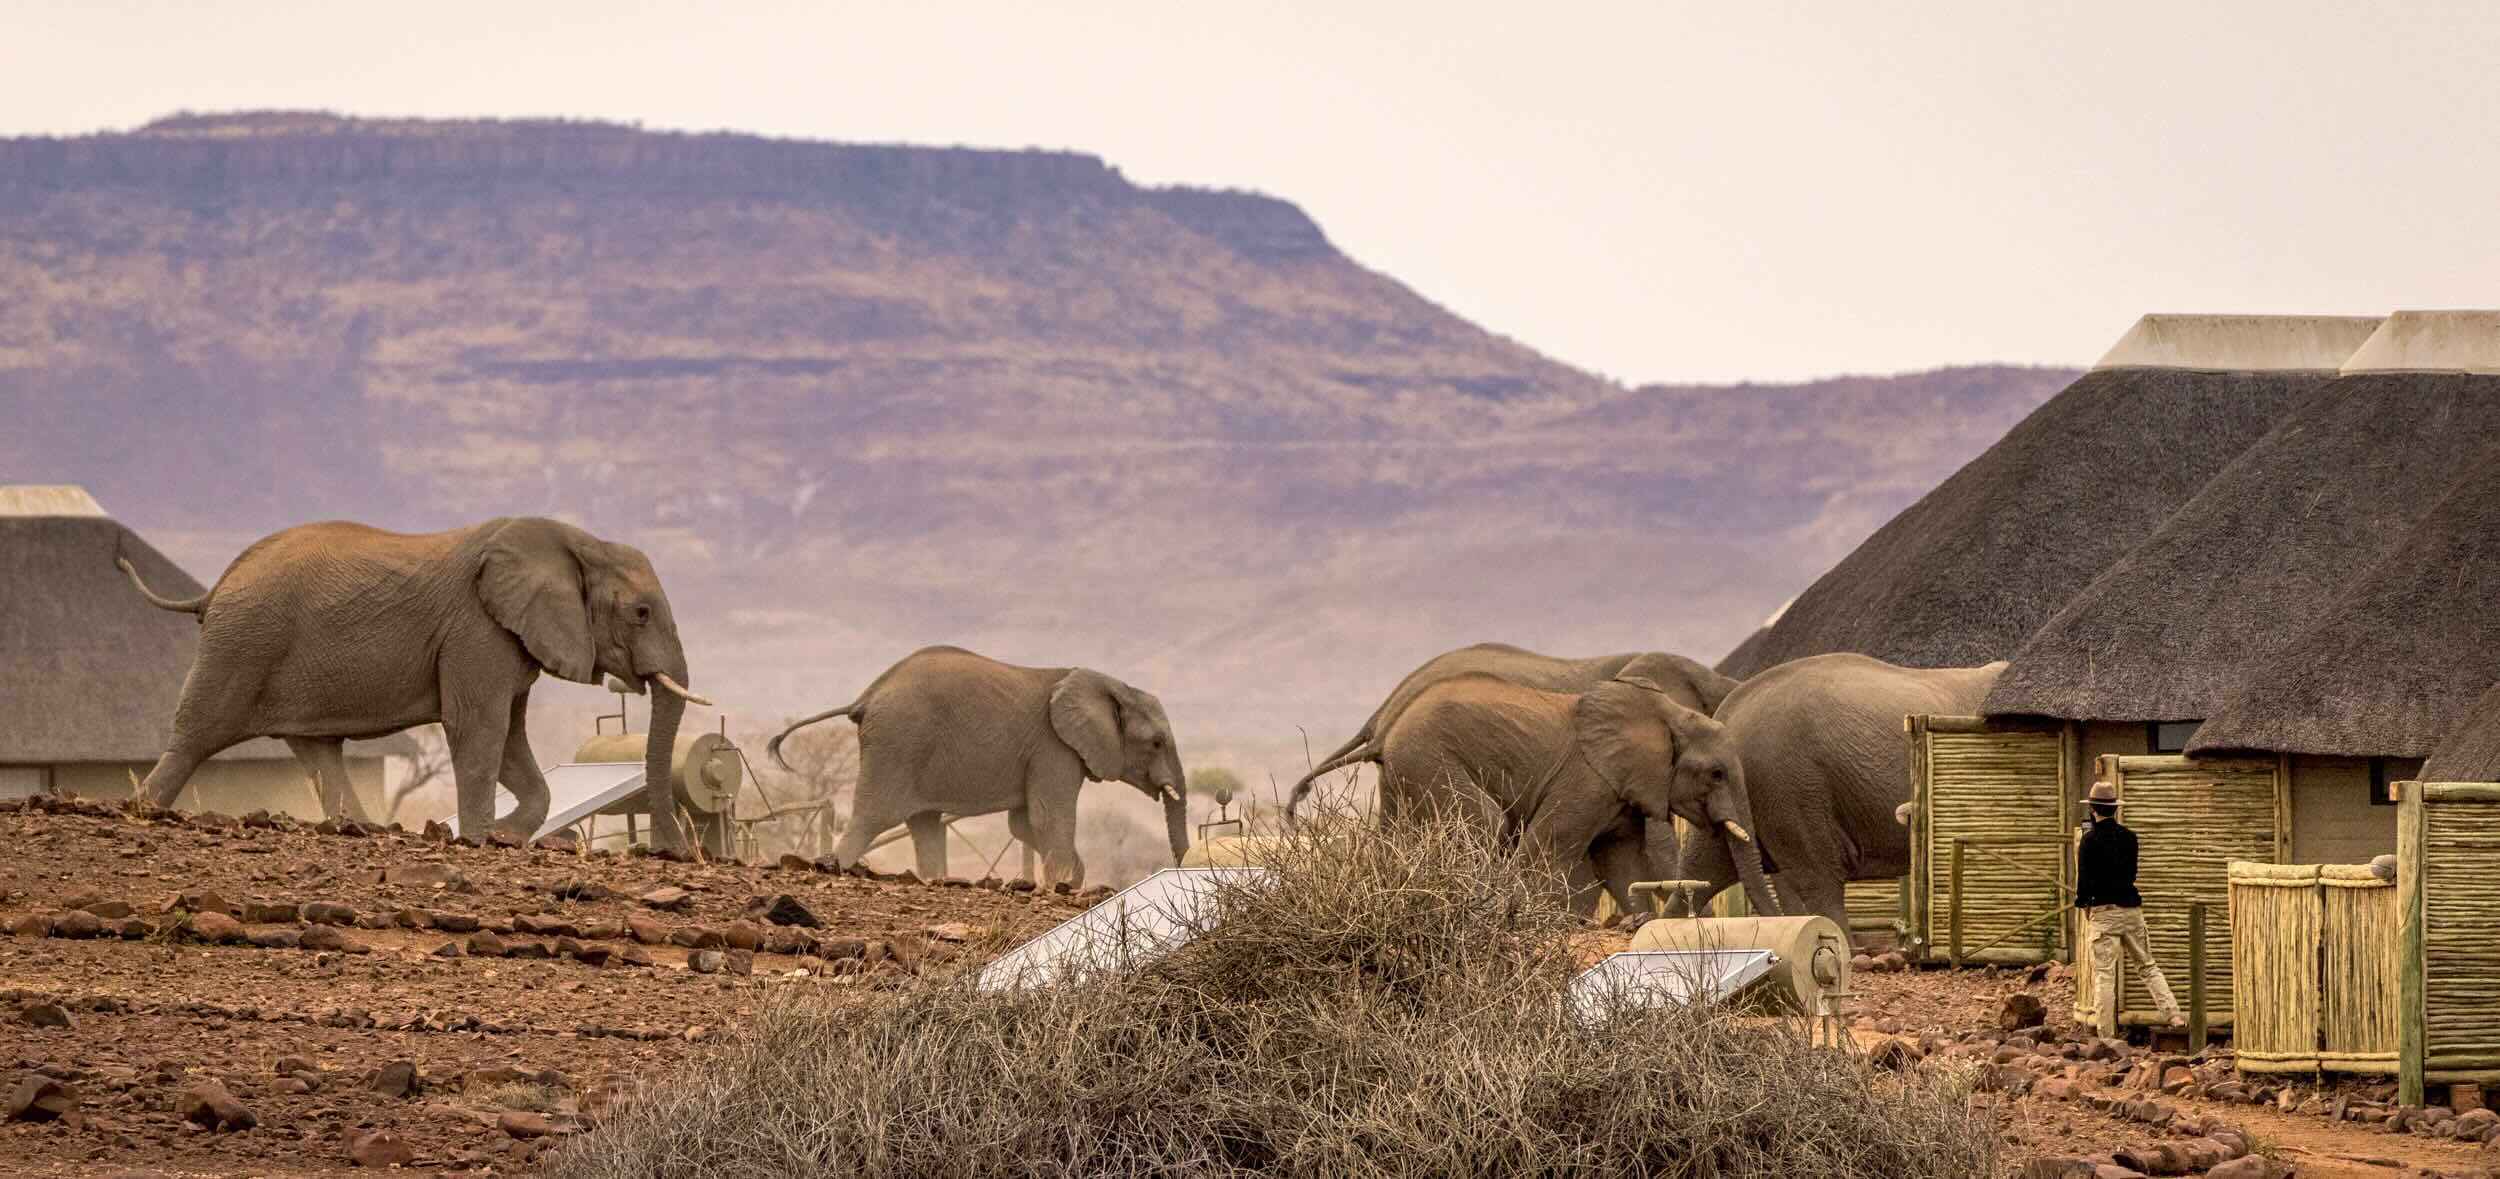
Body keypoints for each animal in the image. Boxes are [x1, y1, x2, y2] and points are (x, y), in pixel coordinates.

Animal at [120, 517, 709, 851]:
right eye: (640, 613)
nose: (669, 851)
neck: (580, 543)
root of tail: (216, 586)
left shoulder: (512, 638)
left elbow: (510, 739)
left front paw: (505, 836)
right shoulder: (477, 629)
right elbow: (479, 727)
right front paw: (476, 838)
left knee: (319, 751)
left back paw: (358, 829)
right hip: (242, 642)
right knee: (196, 735)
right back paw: (140, 810)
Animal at [765, 646, 1187, 888]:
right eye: (1156, 743)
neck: (1108, 684)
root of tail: (866, 696)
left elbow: (1023, 823)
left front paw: (1072, 880)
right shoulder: (1054, 747)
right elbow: (1047, 817)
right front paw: (1065, 885)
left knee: (924, 823)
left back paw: (935, 879)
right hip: (897, 742)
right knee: (875, 815)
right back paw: (835, 868)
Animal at [1374, 672, 1777, 918]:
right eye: (1717, 774)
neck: (1669, 714)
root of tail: (1388, 735)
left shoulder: (1619, 789)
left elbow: (1621, 861)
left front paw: (1639, 920)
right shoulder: (1587, 779)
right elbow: (1546, 849)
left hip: (1405, 777)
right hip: (1429, 760)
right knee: (1488, 825)